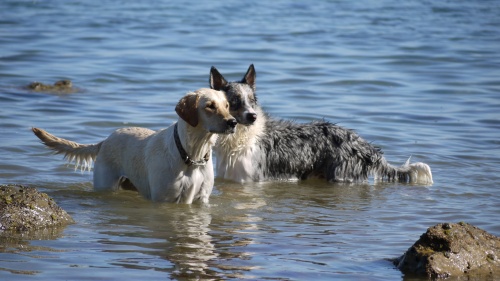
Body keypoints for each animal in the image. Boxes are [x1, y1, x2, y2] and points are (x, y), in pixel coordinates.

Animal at [32, 88, 237, 202]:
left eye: (227, 105)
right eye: (210, 106)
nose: (233, 122)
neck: (191, 154)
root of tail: (106, 139)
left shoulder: (202, 199)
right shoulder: (164, 199)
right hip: (105, 184)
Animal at [209, 65, 432, 185]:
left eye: (252, 100)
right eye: (234, 102)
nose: (253, 116)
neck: (240, 138)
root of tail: (365, 145)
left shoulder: (251, 179)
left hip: (341, 175)